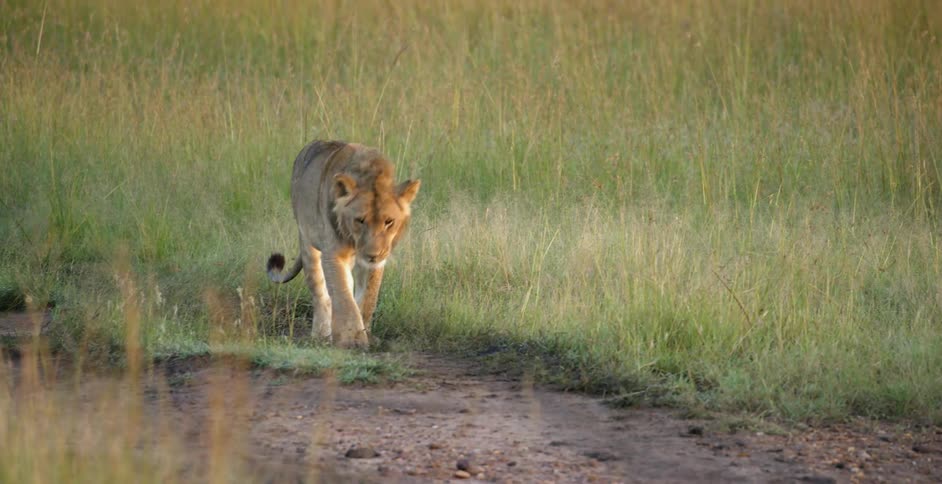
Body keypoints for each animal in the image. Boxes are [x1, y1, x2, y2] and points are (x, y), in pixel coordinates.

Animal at [265, 140, 420, 348]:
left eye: (389, 222)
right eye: (360, 220)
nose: (373, 255)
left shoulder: (375, 263)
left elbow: (368, 298)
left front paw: (366, 334)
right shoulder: (333, 253)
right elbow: (343, 294)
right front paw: (351, 339)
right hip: (307, 241)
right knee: (321, 293)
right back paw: (321, 335)